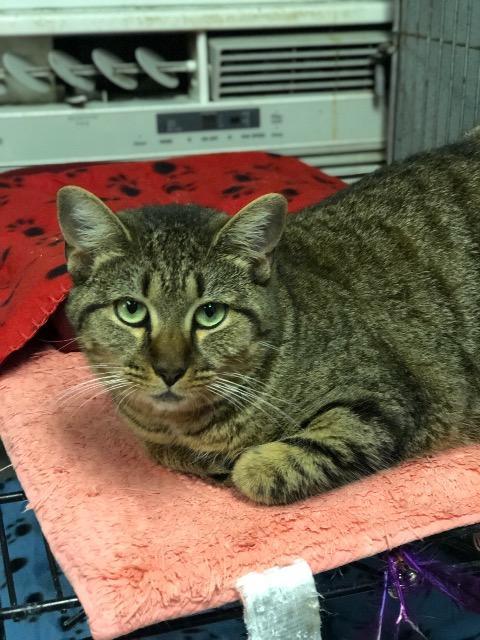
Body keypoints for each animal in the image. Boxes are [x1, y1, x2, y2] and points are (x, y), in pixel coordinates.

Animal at [58, 132, 480, 508]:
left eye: (210, 314)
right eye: (131, 309)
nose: (169, 370)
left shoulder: (381, 402)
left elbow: (257, 470)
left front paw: (234, 463)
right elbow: (167, 452)